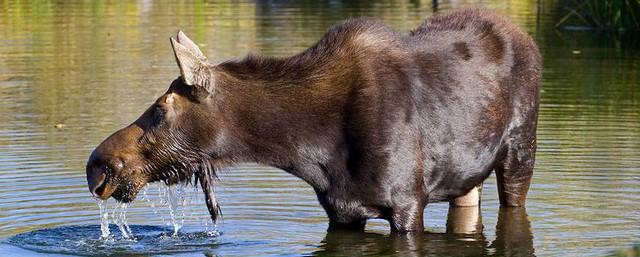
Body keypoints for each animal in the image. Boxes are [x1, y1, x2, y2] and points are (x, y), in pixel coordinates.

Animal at [86, 8, 540, 232]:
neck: (306, 149)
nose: (97, 167)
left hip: (521, 152)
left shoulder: (408, 204)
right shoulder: (342, 211)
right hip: (467, 174)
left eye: (159, 110)